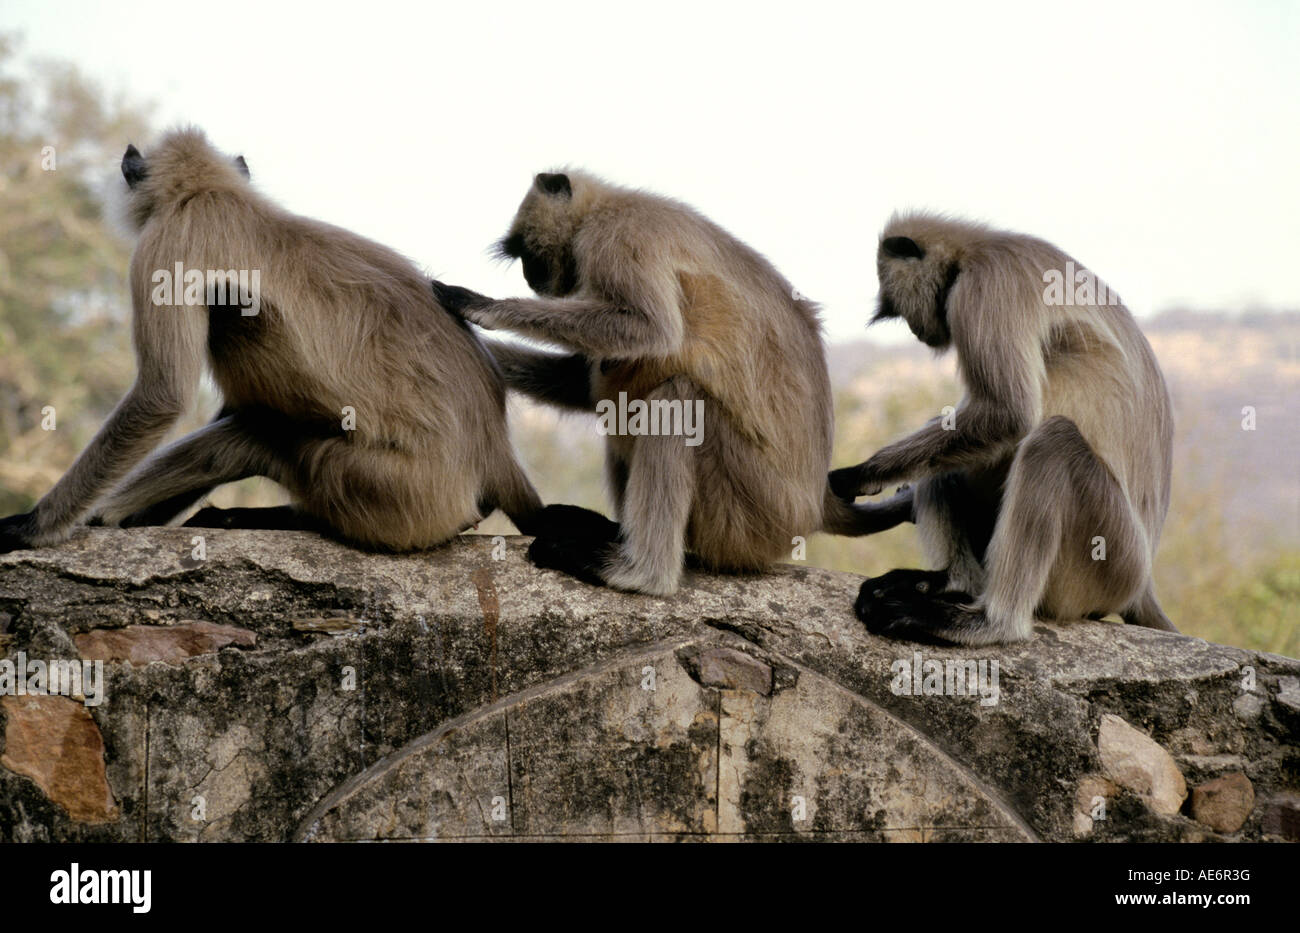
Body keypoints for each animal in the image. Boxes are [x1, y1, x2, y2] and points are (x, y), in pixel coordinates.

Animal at [0, 128, 548, 555]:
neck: (213, 194)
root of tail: (495, 450)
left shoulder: (167, 244)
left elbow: (162, 395)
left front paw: (32, 528)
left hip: (397, 489)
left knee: (257, 429)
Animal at [431, 170, 912, 596]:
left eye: (528, 252)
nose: (530, 275)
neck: (605, 206)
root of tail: (812, 504)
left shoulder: (617, 238)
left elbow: (652, 330)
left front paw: (481, 306)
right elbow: (587, 383)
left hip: (751, 509)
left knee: (674, 395)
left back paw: (641, 575)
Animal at [828, 212, 1177, 645]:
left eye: (894, 304)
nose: (913, 330)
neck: (972, 251)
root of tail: (1142, 583)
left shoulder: (985, 287)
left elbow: (1007, 415)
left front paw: (861, 475)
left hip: (1111, 561)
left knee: (1051, 443)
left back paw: (989, 623)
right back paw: (955, 582)